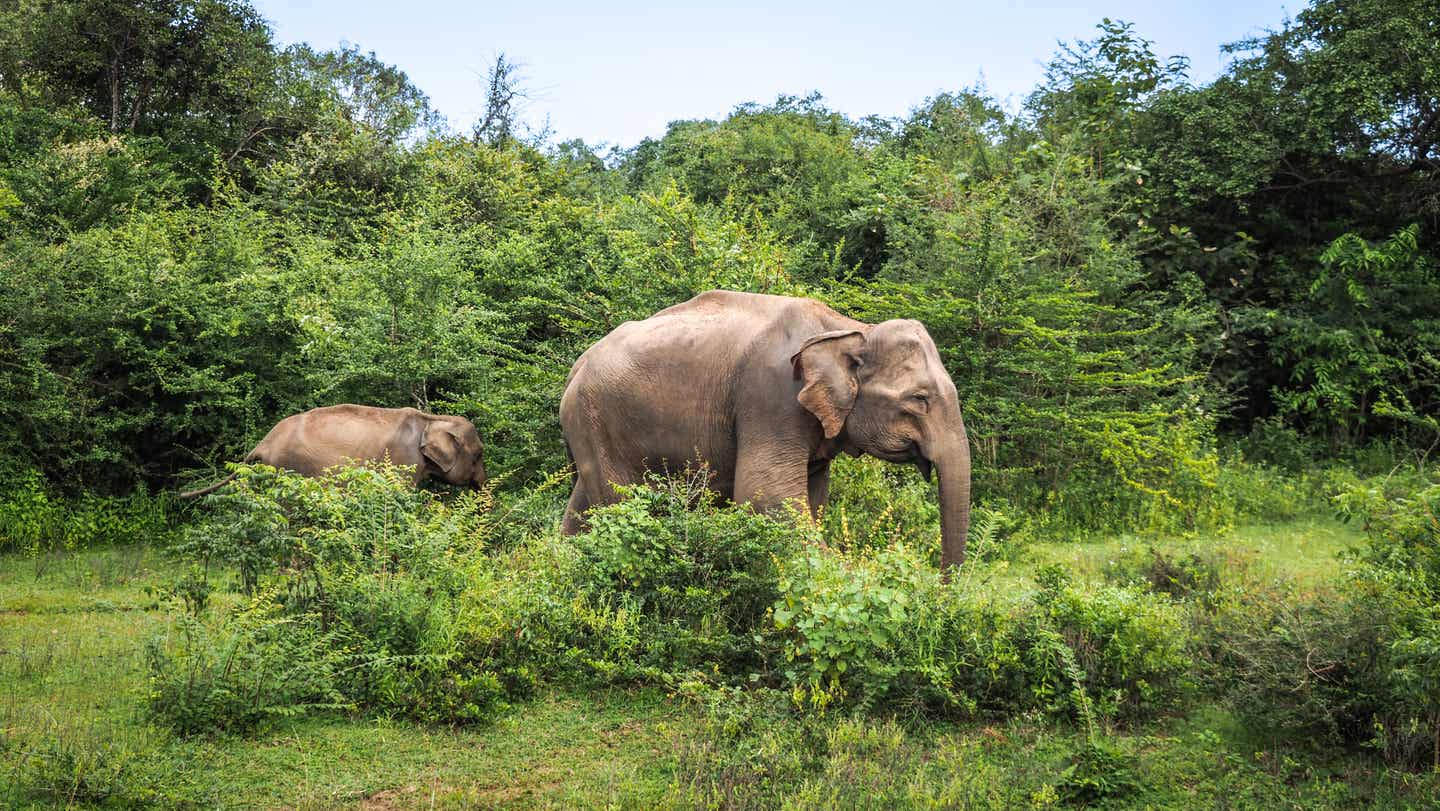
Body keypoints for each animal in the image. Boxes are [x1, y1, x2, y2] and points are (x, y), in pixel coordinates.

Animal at [555, 292, 973, 570]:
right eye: (919, 399)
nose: (941, 585)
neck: (848, 328)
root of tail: (578, 366)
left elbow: (810, 499)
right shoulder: (770, 397)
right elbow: (766, 496)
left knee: (581, 507)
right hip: (600, 422)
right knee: (617, 506)